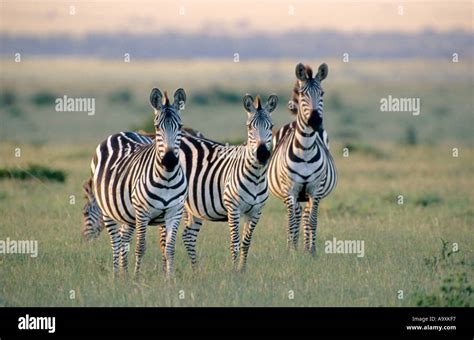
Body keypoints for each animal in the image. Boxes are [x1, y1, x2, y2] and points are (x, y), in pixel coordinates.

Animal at [84, 87, 188, 276]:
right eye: (157, 127)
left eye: (180, 126)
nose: (169, 161)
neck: (167, 179)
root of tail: (120, 133)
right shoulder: (142, 212)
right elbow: (141, 247)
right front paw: (136, 278)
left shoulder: (175, 212)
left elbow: (169, 249)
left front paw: (170, 279)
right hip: (108, 210)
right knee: (116, 243)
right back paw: (117, 275)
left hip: (127, 215)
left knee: (124, 240)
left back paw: (124, 274)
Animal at [180, 93, 278, 270]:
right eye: (249, 127)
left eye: (271, 126)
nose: (262, 155)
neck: (256, 177)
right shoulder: (233, 209)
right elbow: (235, 243)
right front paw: (233, 271)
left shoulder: (256, 211)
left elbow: (246, 242)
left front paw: (242, 270)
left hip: (194, 208)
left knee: (188, 236)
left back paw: (196, 270)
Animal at [266, 63, 336, 255]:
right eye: (303, 94)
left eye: (322, 93)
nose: (315, 121)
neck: (305, 149)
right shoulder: (290, 190)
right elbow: (291, 221)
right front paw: (291, 251)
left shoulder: (315, 191)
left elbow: (312, 220)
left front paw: (311, 251)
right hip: (288, 193)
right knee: (295, 215)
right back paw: (293, 246)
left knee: (304, 215)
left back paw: (304, 247)